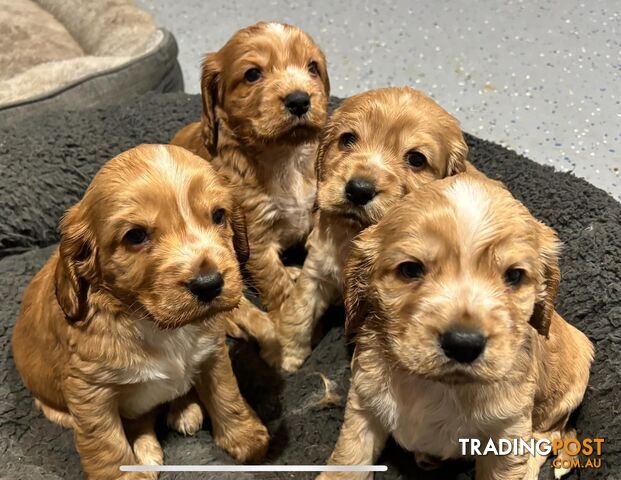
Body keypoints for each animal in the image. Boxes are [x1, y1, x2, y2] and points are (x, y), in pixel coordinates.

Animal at [12, 144, 268, 478]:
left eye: (218, 216)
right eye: (135, 236)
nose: (209, 284)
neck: (153, 322)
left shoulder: (212, 351)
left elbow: (227, 392)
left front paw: (247, 437)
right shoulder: (89, 391)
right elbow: (106, 443)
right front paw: (124, 472)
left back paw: (184, 409)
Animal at [171, 21, 330, 316]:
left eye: (312, 67)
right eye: (253, 74)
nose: (299, 100)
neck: (284, 155)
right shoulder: (257, 237)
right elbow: (276, 282)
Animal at [268, 87, 468, 372]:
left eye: (416, 159)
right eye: (348, 139)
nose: (359, 189)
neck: (355, 233)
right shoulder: (317, 269)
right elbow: (299, 312)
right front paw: (288, 357)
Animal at [318, 173, 592, 480]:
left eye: (514, 276)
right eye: (410, 269)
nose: (464, 344)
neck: (437, 386)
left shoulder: (508, 432)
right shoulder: (364, 404)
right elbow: (348, 459)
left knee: (548, 435)